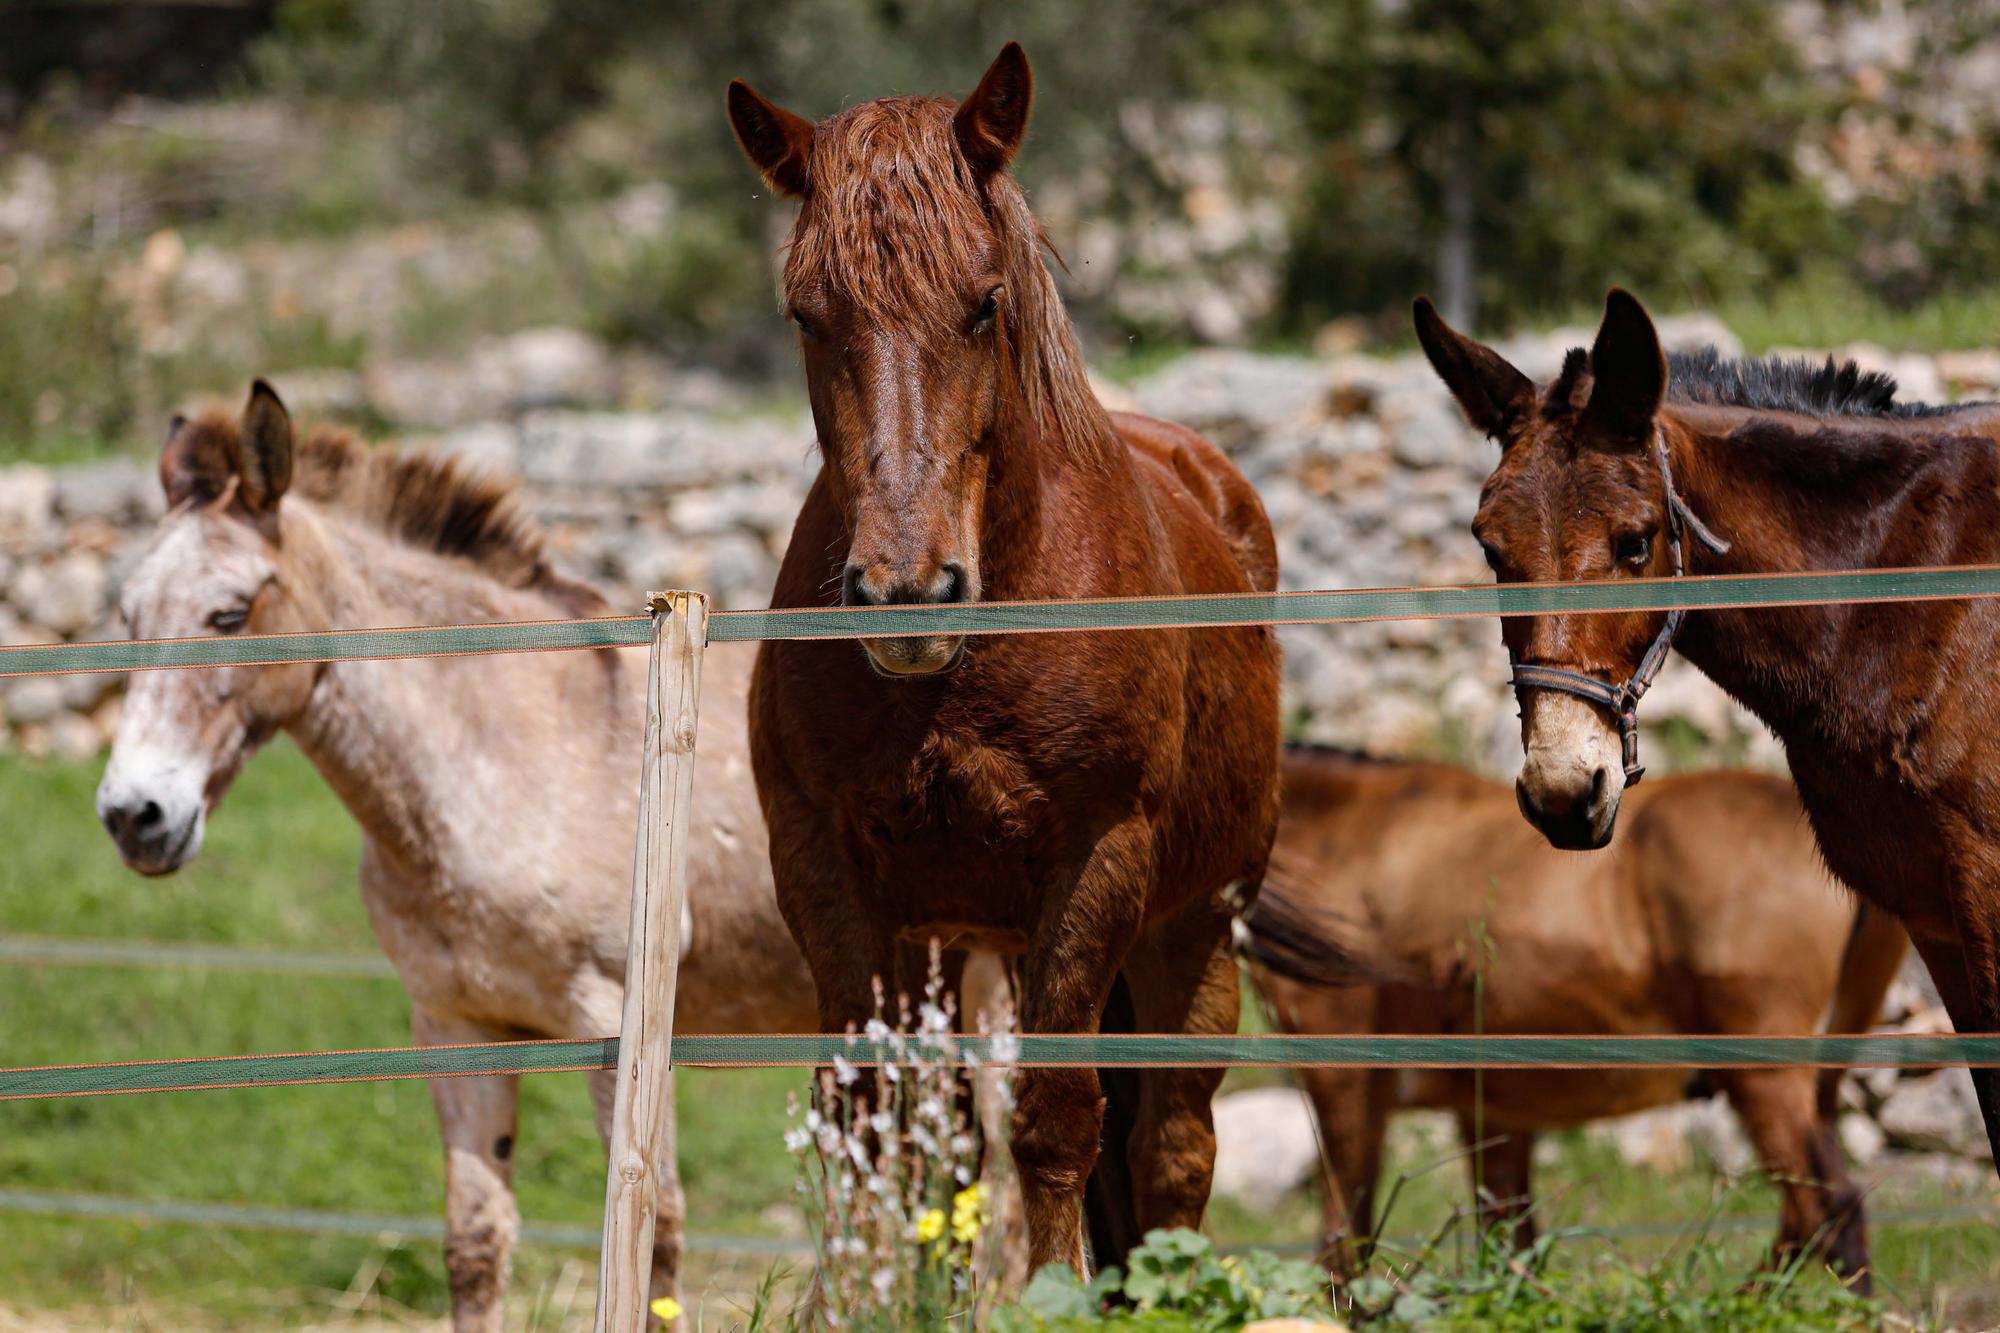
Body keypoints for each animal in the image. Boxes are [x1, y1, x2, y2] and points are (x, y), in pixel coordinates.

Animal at [97, 382, 816, 1320]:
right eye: (128, 615)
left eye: (229, 613)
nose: (133, 814)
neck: (510, 753)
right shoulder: (455, 1022)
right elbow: (476, 1243)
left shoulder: (615, 1023)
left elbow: (653, 1233)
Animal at [728, 44, 1288, 1264]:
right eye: (806, 313)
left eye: (983, 303)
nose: (905, 594)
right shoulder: (829, 874)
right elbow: (872, 1125)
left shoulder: (1096, 867)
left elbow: (1056, 1122)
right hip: (950, 937)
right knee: (942, 1138)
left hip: (1192, 929)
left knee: (1172, 1147)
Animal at [1256, 740, 1912, 1280]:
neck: (1351, 838)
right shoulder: (1492, 1110)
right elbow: (1508, 1249)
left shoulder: (1346, 1086)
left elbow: (1343, 1245)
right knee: (1804, 1220)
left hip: (1765, 1078)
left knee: (1831, 1209)